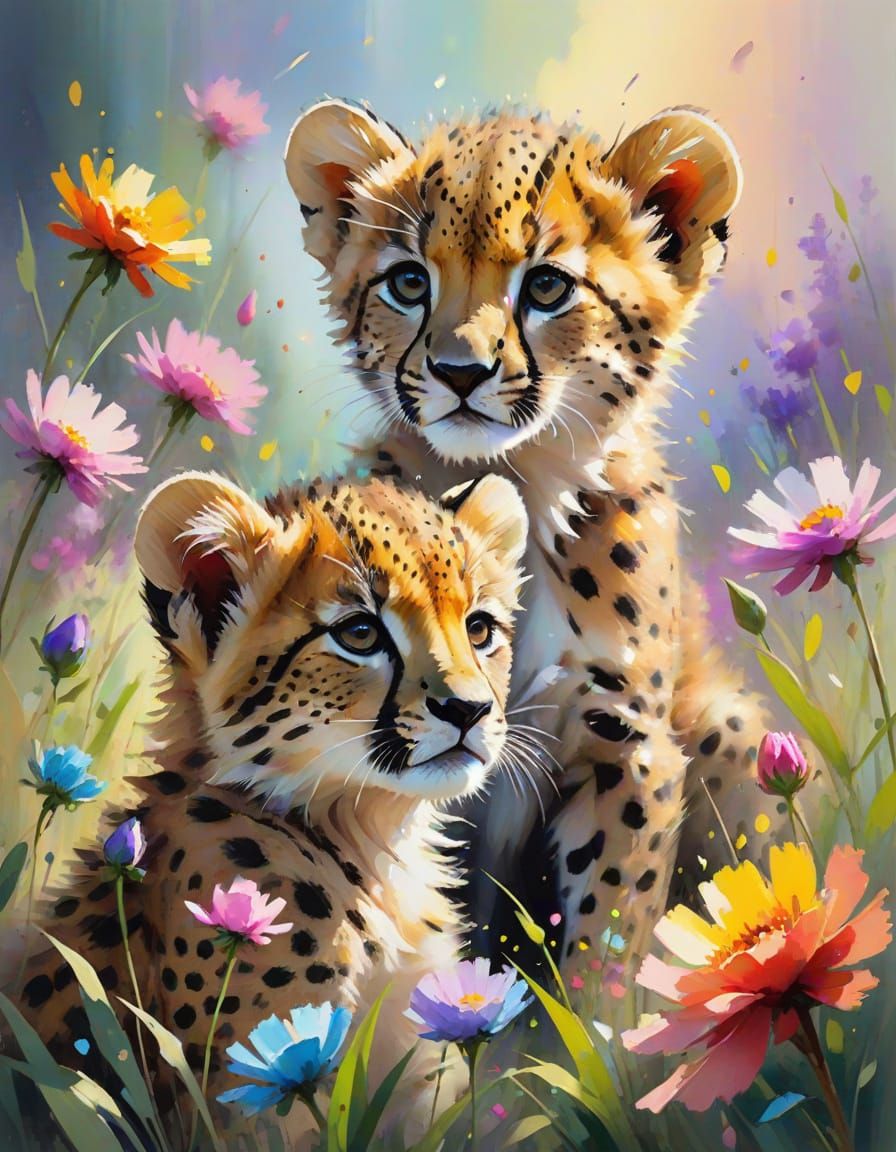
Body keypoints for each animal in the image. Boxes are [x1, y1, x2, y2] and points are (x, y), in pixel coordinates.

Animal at [283, 99, 786, 984]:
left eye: (547, 285)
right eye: (408, 281)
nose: (459, 372)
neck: (515, 481)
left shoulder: (627, 741)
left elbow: (607, 950)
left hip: (733, 733)